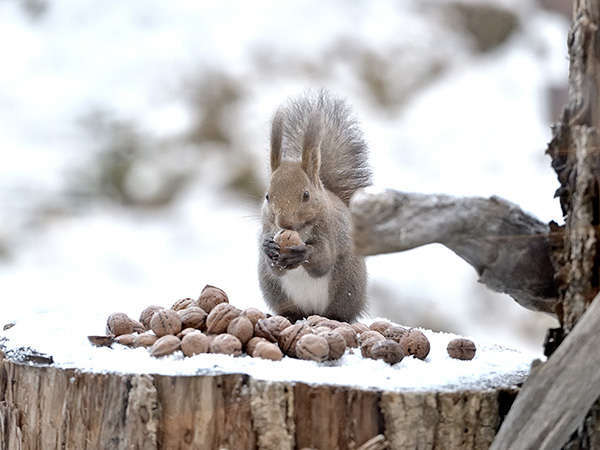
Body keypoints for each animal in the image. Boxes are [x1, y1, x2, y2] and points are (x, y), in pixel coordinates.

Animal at [258, 92, 370, 324]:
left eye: (306, 195)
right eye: (267, 196)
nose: (284, 222)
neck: (300, 230)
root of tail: (311, 312)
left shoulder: (330, 231)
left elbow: (323, 259)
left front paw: (302, 251)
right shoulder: (267, 227)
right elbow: (275, 268)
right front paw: (268, 247)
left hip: (346, 286)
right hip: (276, 291)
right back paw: (289, 316)